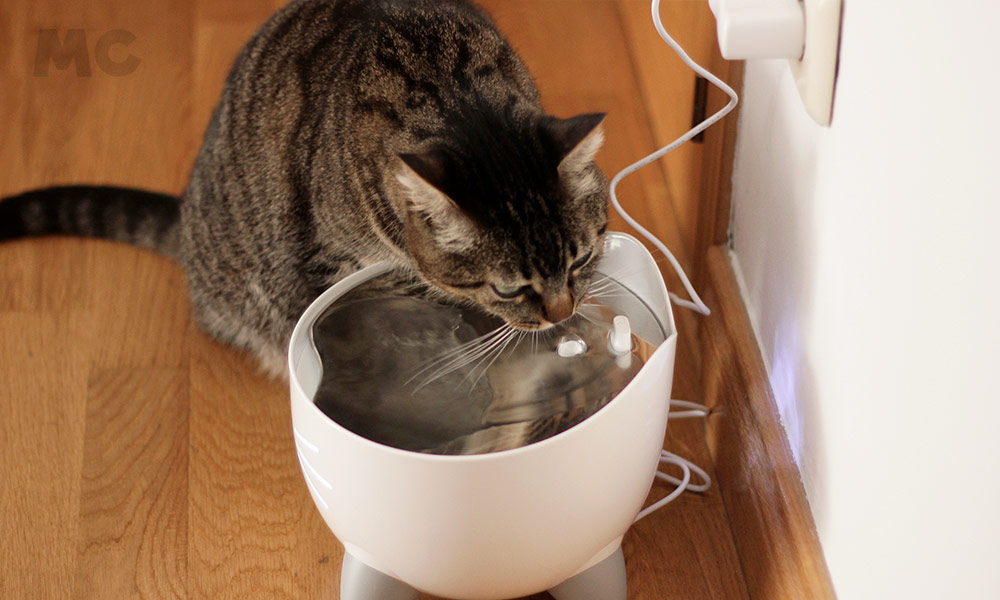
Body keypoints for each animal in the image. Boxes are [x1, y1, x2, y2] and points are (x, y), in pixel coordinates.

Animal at [0, 0, 608, 376]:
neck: (454, 95)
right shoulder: (325, 259)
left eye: (581, 259)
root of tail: (188, 217)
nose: (561, 312)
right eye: (508, 288)